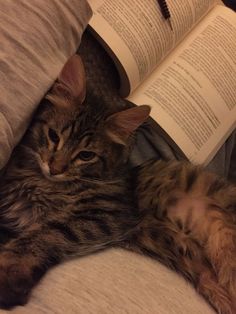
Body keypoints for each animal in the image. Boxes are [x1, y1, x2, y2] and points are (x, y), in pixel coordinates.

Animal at [0, 55, 235, 312]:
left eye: (86, 155)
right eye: (53, 136)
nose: (55, 168)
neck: (38, 180)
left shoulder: (107, 215)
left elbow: (46, 235)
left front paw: (11, 272)